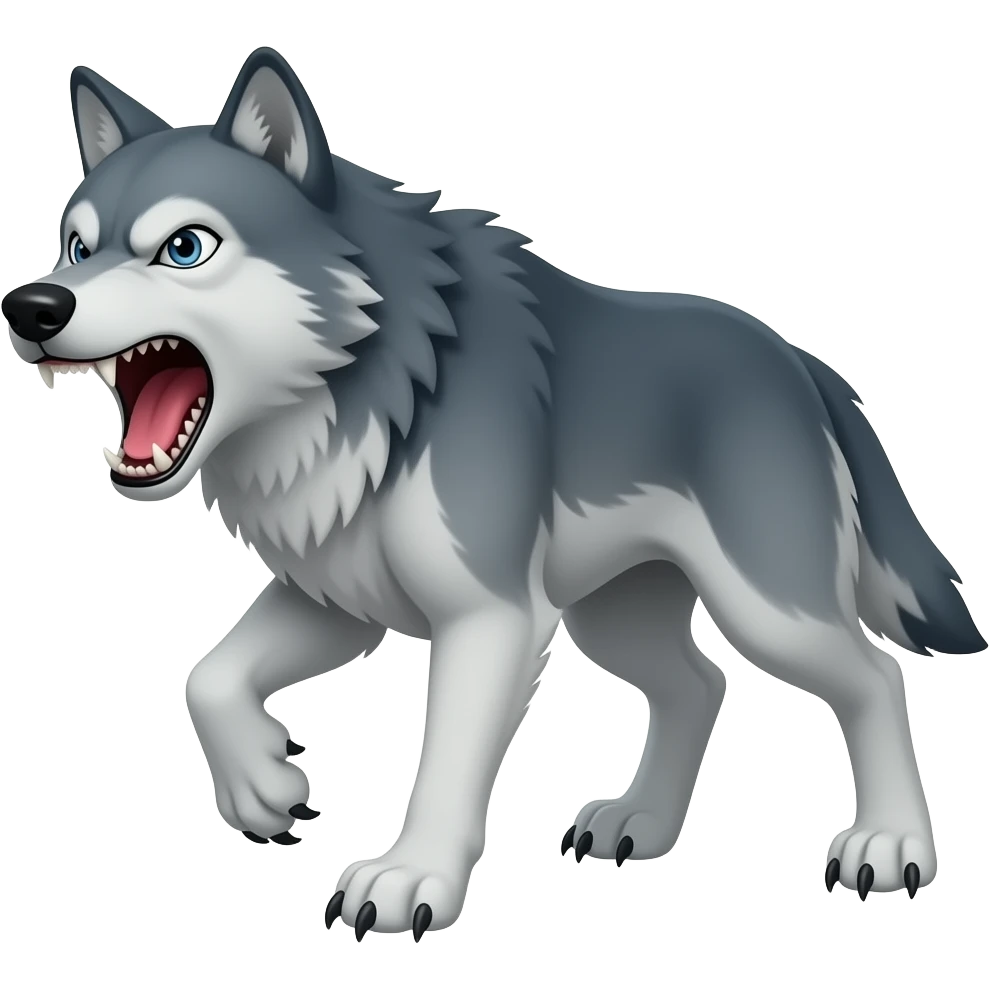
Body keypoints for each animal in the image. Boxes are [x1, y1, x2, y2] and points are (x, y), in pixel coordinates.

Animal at [2, 46, 983, 937]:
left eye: (184, 248)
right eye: (77, 245)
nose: (32, 306)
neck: (381, 387)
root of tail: (801, 360)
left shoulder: (491, 616)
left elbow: (444, 757)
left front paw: (408, 881)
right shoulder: (337, 599)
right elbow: (205, 674)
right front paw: (266, 786)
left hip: (765, 608)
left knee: (874, 676)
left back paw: (891, 845)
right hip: (613, 619)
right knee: (699, 684)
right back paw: (641, 823)